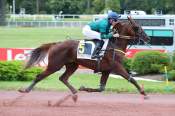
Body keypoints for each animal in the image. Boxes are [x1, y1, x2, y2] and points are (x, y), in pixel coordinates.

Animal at [19, 16, 150, 99]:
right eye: (137, 27)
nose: (147, 38)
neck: (115, 45)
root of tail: (56, 44)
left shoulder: (106, 70)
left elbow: (101, 88)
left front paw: (83, 88)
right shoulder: (117, 67)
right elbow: (131, 79)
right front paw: (144, 92)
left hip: (72, 65)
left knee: (63, 78)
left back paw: (75, 92)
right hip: (54, 65)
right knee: (40, 76)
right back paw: (25, 90)